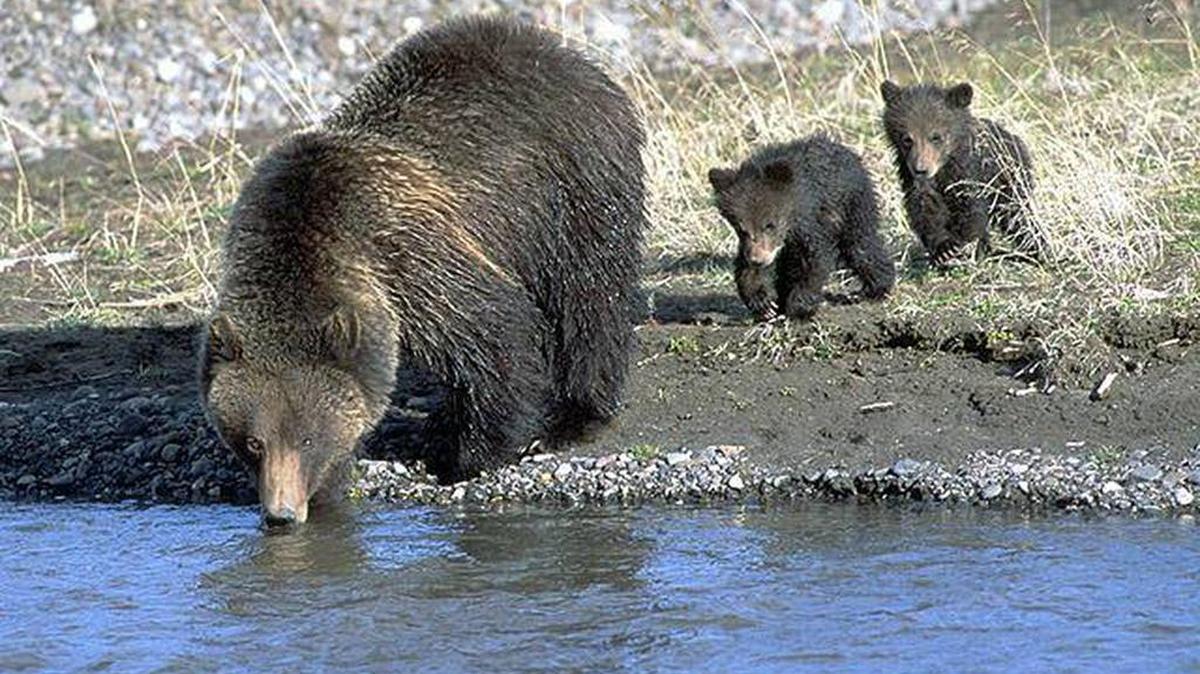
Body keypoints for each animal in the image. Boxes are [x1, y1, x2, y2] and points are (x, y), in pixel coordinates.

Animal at [199, 17, 646, 525]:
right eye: (253, 442)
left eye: (308, 437)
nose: (282, 513)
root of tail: (564, 53)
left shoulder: (405, 254)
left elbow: (494, 329)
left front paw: (472, 455)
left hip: (572, 186)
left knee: (589, 297)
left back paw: (575, 413)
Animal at [708, 134, 895, 320]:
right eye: (741, 229)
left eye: (770, 225)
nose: (758, 260)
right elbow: (746, 267)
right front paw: (764, 304)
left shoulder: (810, 221)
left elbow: (813, 259)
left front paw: (798, 308)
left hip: (853, 205)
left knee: (860, 246)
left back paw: (872, 289)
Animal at [880, 80, 1038, 267]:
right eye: (907, 139)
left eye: (936, 136)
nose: (921, 169)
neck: (944, 167)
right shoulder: (912, 178)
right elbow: (925, 209)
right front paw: (944, 249)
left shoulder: (969, 172)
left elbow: (970, 210)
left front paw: (962, 246)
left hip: (1011, 178)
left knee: (1018, 215)